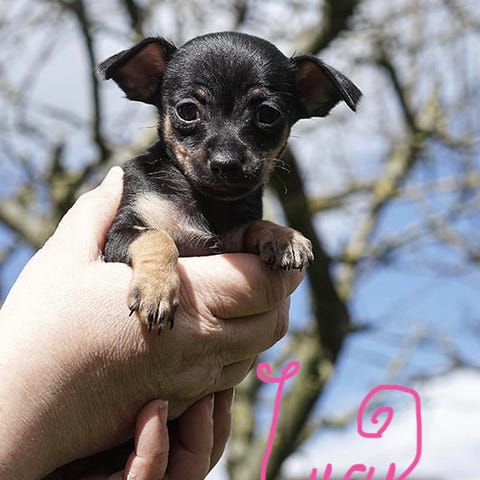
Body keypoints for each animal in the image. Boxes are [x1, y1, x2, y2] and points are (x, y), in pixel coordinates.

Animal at [99, 31, 361, 332]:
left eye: (268, 114)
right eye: (187, 111)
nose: (226, 163)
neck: (207, 201)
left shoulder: (235, 238)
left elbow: (253, 224)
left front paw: (283, 235)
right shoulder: (120, 232)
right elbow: (156, 236)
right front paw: (156, 290)